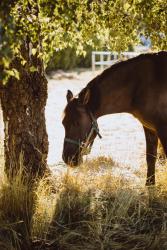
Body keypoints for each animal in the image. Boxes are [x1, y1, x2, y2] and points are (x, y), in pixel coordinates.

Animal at [61, 50, 167, 185]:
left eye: (77, 123)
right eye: (63, 123)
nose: (67, 158)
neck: (142, 85)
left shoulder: (163, 129)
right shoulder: (149, 127)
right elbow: (150, 158)